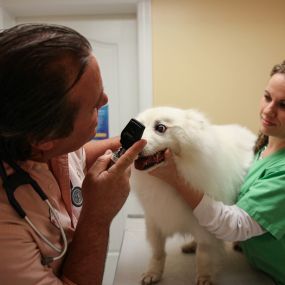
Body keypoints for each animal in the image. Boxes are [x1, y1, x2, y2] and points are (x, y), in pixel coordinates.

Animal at [131, 106, 255, 284]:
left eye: (160, 128)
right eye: (137, 126)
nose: (130, 142)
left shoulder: (205, 226)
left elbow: (204, 255)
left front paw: (204, 277)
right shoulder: (155, 219)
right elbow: (158, 252)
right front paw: (153, 273)